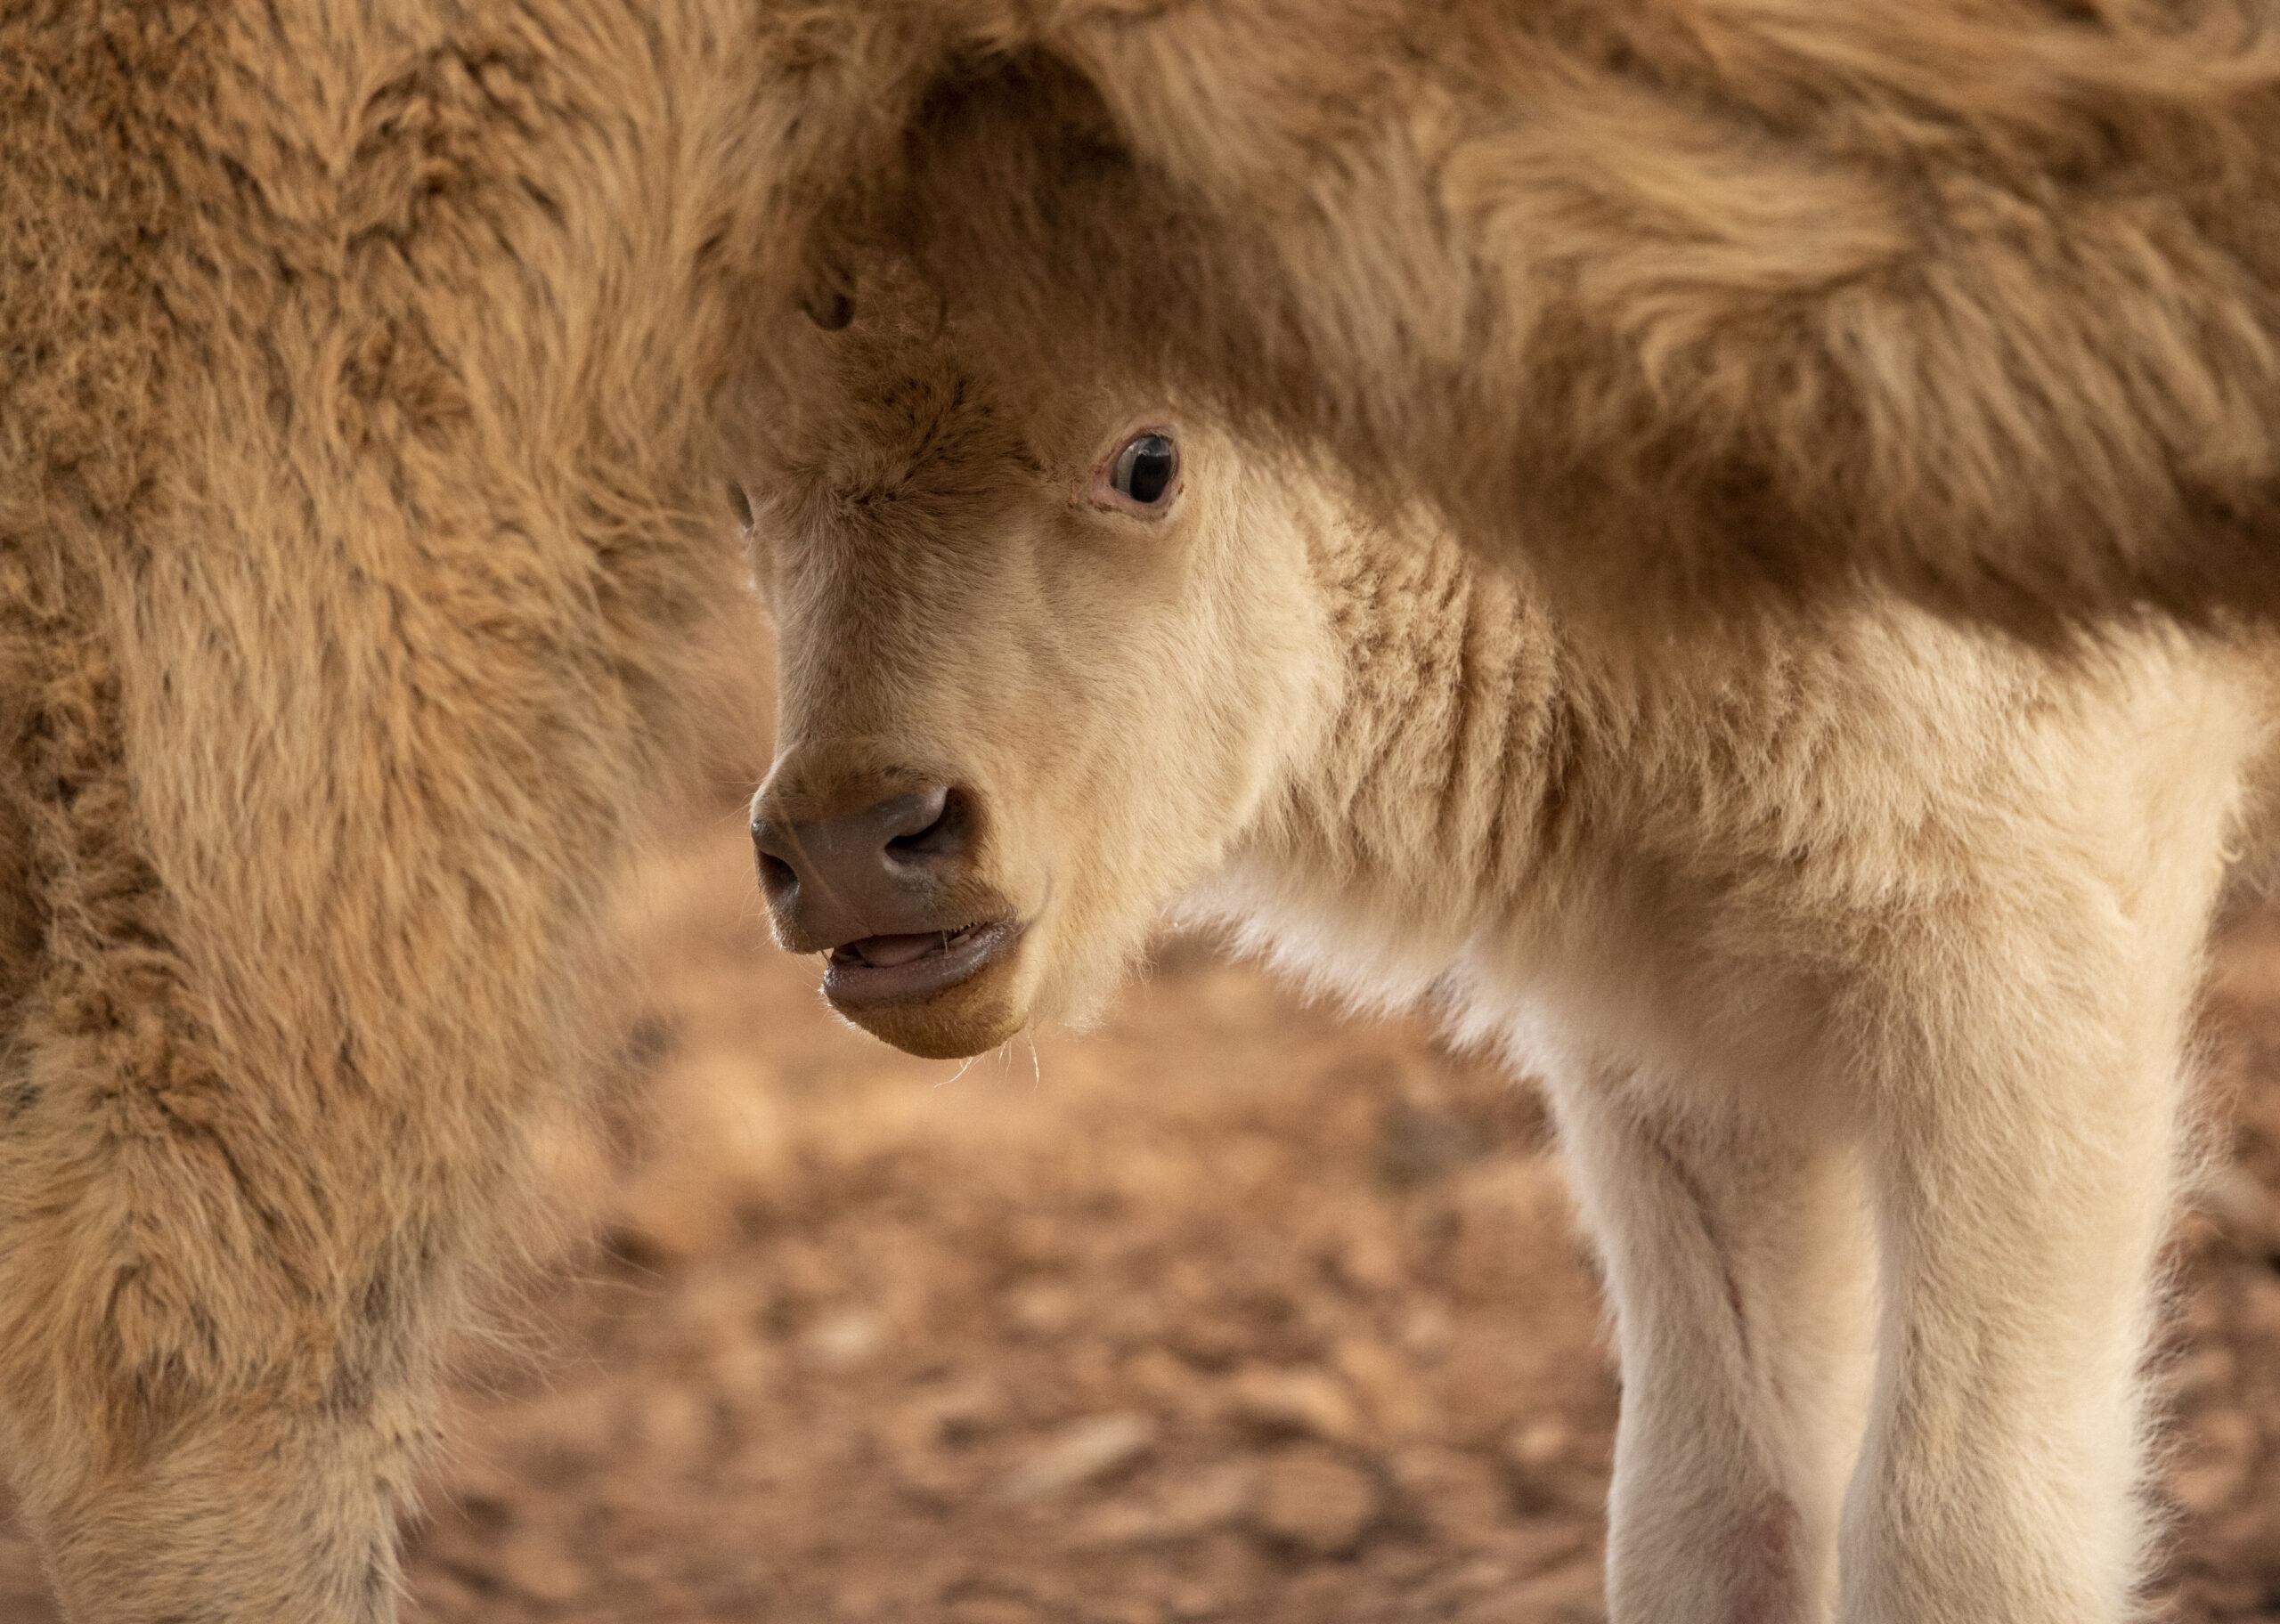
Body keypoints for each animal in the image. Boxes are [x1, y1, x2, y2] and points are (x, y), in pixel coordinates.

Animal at [747, 272, 2280, 1614]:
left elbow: (1960, 1530)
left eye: (1148, 459)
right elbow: (1712, 1506)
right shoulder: (1682, 1047)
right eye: (748, 493)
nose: (852, 839)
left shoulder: (2031, 987)